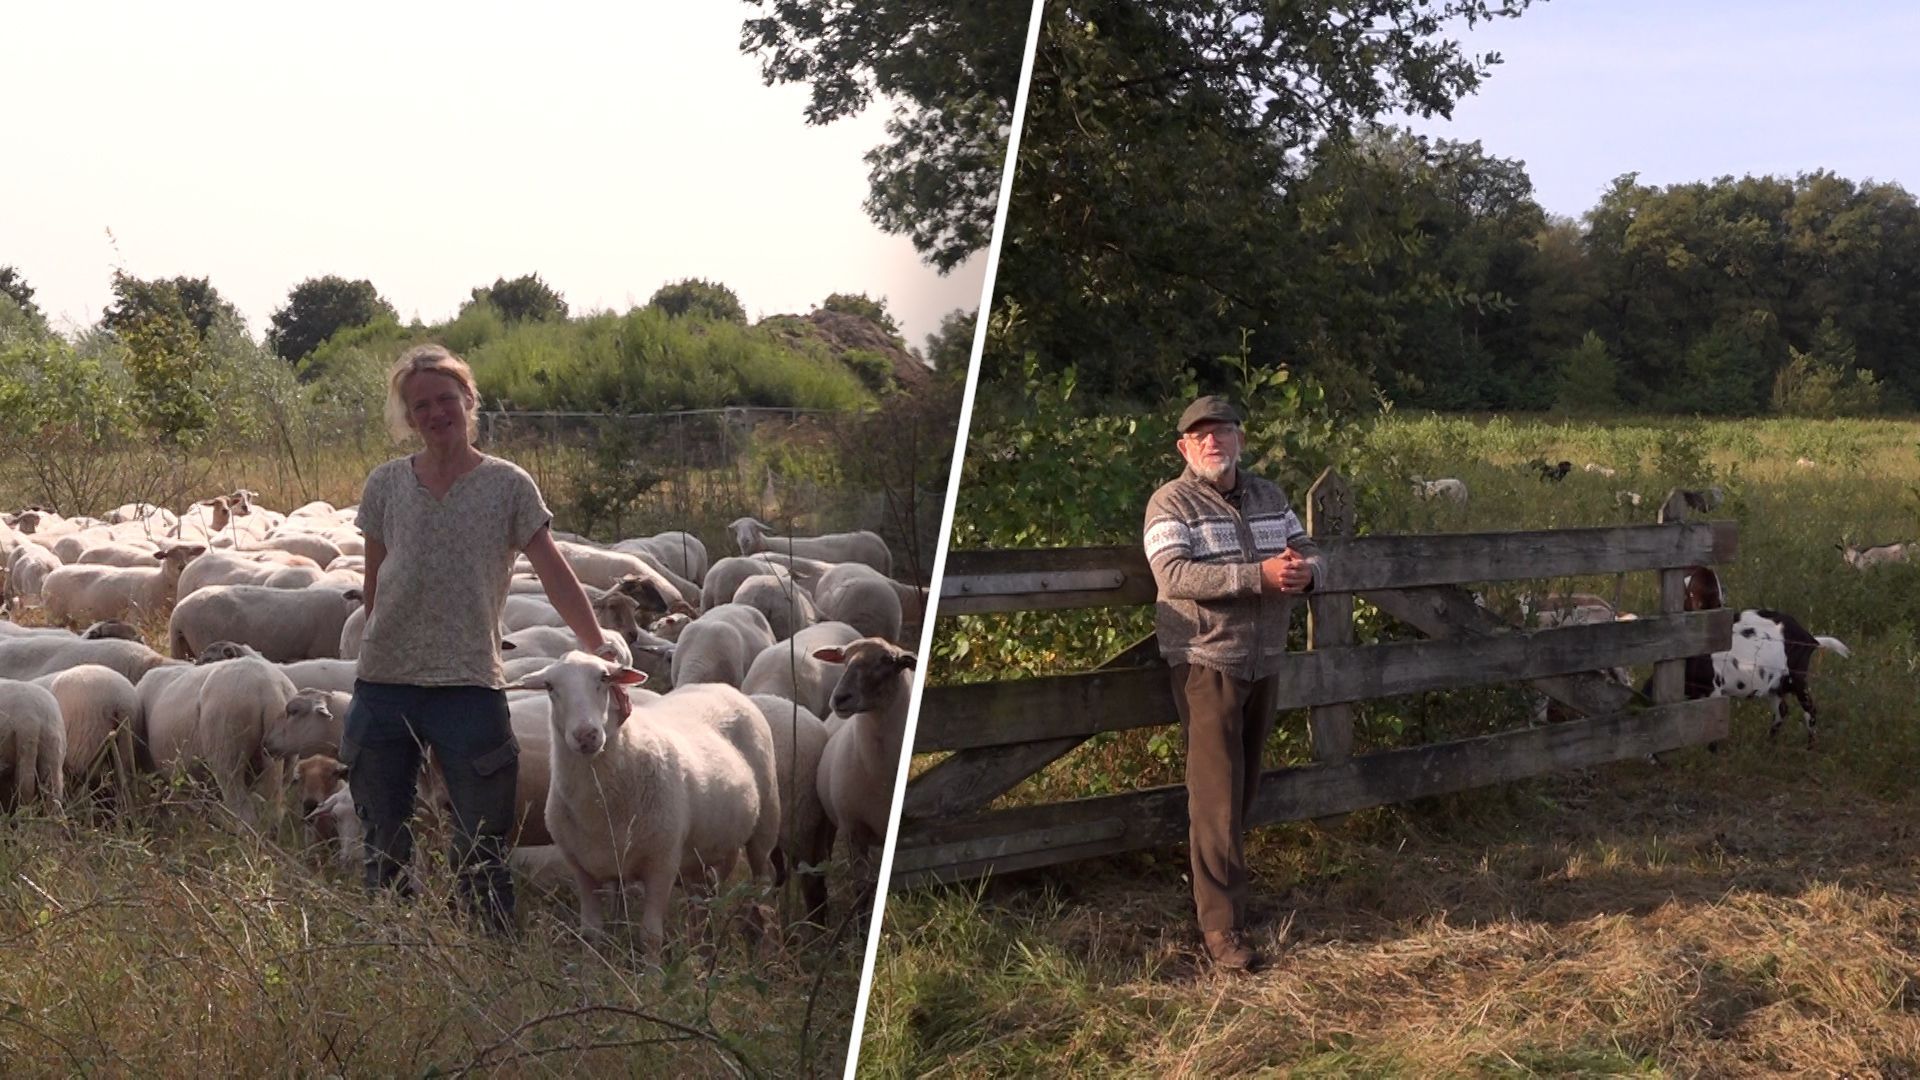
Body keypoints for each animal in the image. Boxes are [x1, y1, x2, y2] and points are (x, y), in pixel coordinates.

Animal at [514, 645, 783, 941]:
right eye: (549, 686)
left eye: (604, 678)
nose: (586, 735)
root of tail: (720, 686)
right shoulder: (582, 868)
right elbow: (591, 932)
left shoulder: (662, 864)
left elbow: (650, 936)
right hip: (708, 847)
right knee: (705, 894)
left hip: (766, 820)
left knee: (762, 879)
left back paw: (760, 929)